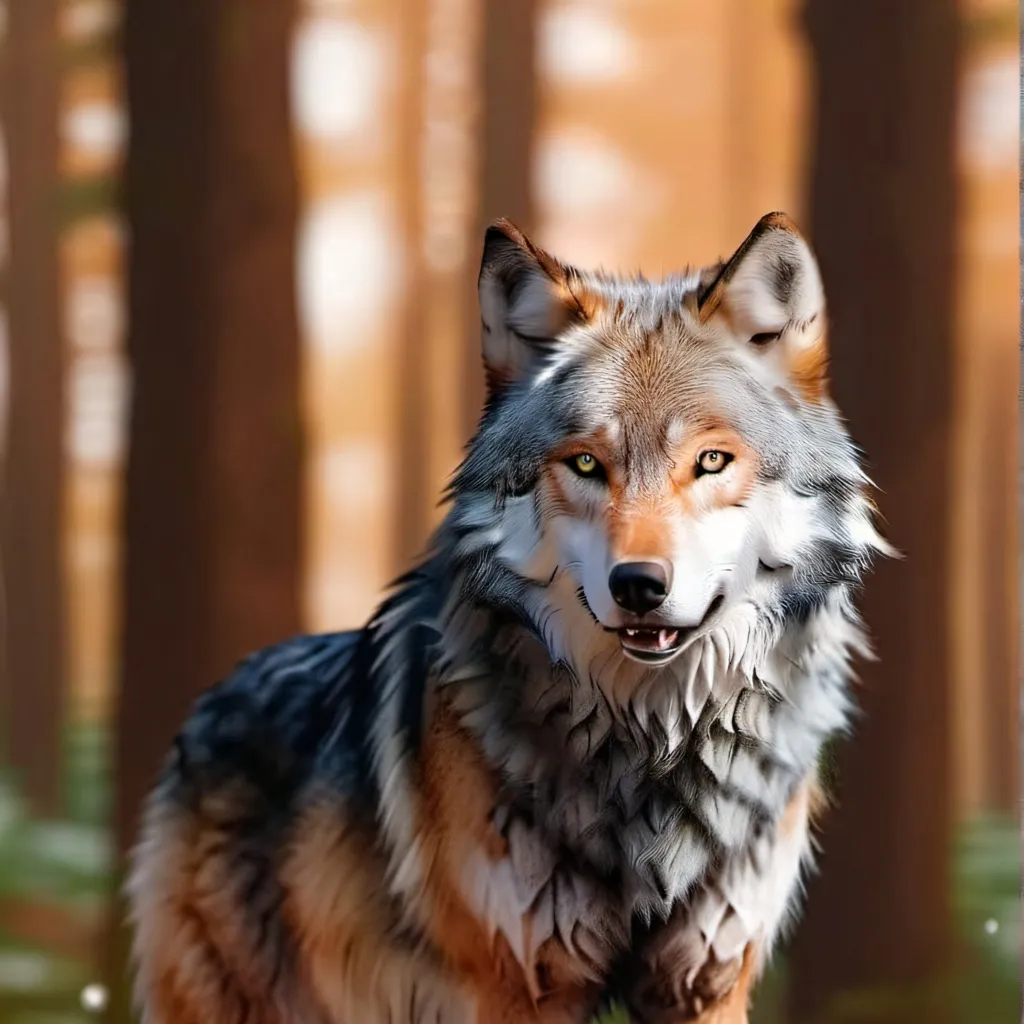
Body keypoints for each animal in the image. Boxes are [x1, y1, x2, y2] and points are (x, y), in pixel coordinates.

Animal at [128, 212, 891, 1024]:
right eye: (585, 464)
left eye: (712, 461)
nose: (638, 585)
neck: (649, 744)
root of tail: (218, 692)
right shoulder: (521, 985)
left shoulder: (706, 982)